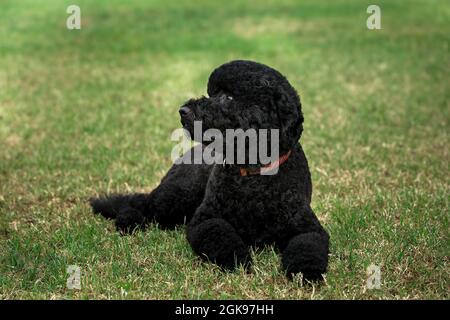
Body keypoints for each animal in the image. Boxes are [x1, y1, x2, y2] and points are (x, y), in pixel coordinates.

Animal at [90, 60, 330, 280]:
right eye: (212, 93)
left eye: (229, 97)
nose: (183, 110)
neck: (253, 175)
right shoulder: (205, 219)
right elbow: (220, 235)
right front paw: (238, 259)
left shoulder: (308, 228)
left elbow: (307, 246)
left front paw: (306, 272)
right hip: (177, 195)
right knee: (142, 205)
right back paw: (128, 221)